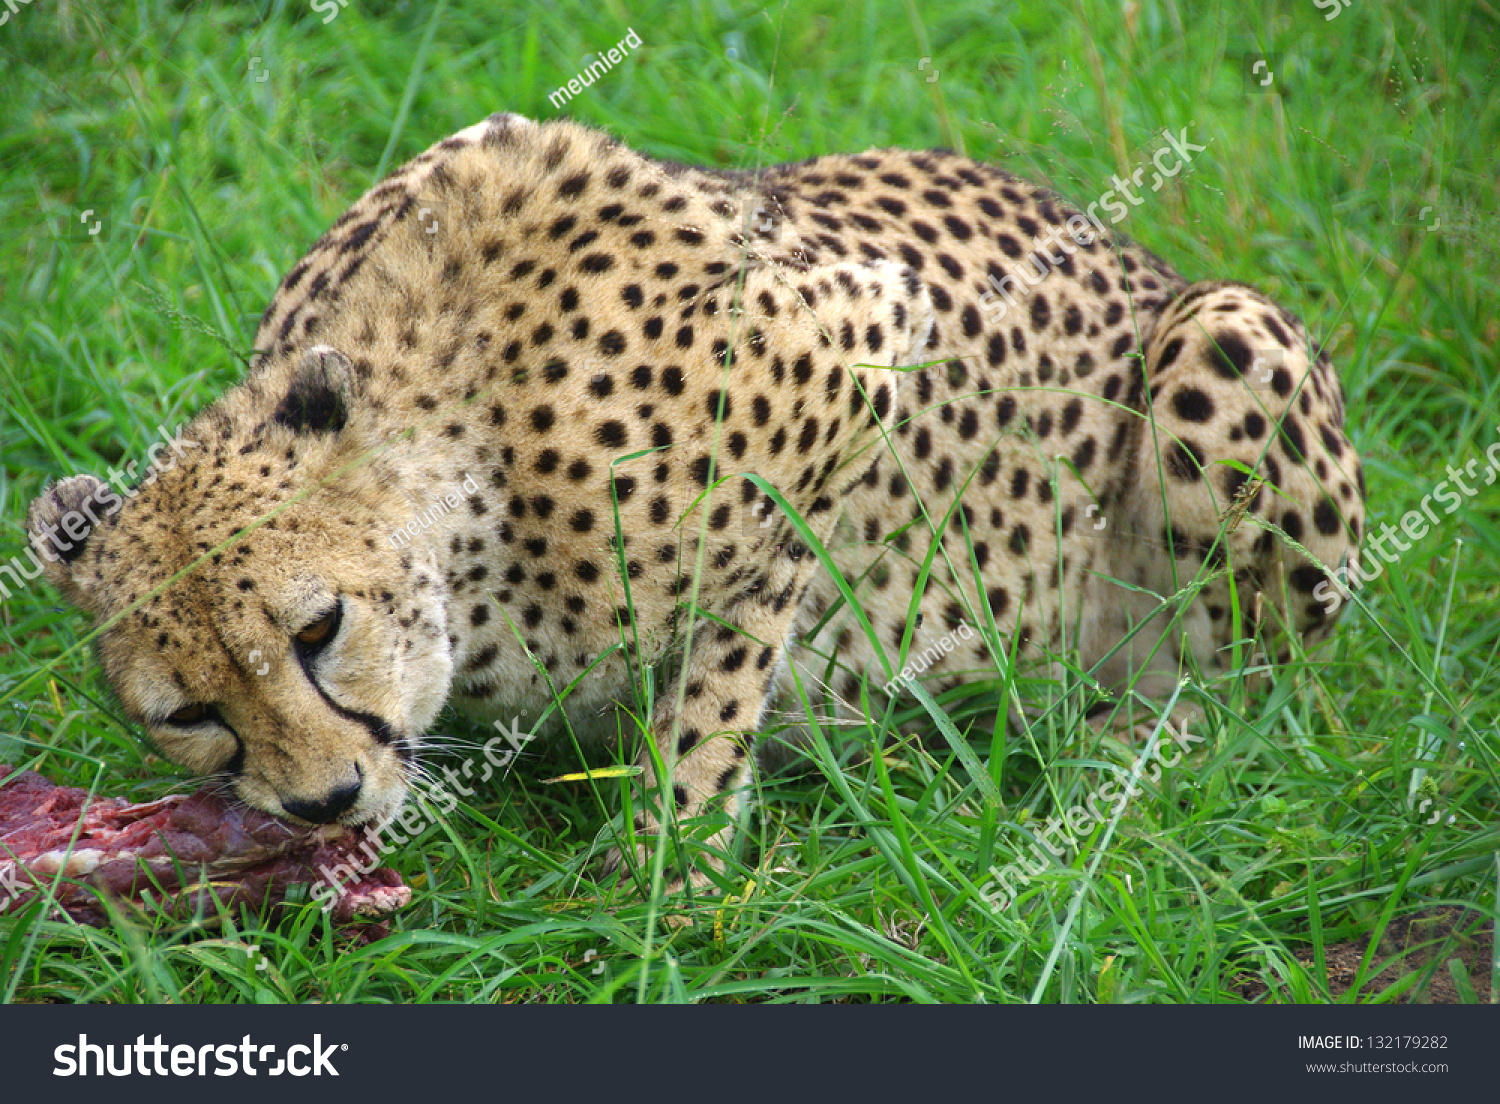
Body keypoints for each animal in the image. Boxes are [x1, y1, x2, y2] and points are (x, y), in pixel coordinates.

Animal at [23, 112, 1368, 882]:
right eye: (191, 712)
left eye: (319, 629)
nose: (325, 801)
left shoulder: (859, 353)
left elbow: (720, 670)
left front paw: (673, 875)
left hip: (1222, 337)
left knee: (1247, 694)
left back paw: (1115, 745)